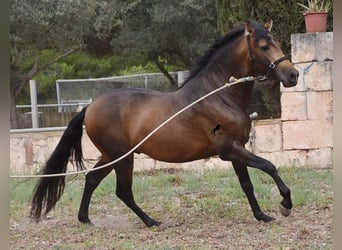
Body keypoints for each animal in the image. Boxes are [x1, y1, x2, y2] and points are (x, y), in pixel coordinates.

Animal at [32, 19, 300, 227]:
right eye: (264, 46)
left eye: (277, 42)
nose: (293, 75)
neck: (219, 94)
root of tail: (90, 107)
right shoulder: (229, 150)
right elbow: (269, 166)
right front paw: (285, 204)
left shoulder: (237, 149)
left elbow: (247, 184)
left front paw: (262, 215)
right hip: (122, 157)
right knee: (123, 191)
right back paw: (151, 221)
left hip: (111, 156)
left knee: (92, 179)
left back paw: (86, 219)